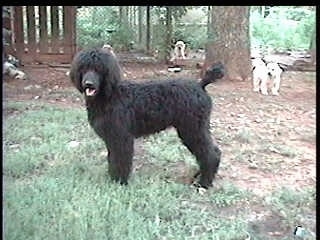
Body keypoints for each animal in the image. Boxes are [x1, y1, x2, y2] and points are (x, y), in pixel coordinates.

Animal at [70, 47, 225, 189]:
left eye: (99, 68)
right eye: (84, 68)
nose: (88, 84)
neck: (110, 96)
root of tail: (200, 85)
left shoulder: (122, 138)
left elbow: (120, 160)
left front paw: (119, 182)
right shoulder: (112, 138)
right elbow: (112, 159)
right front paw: (112, 178)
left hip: (192, 129)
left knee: (210, 154)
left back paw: (203, 183)